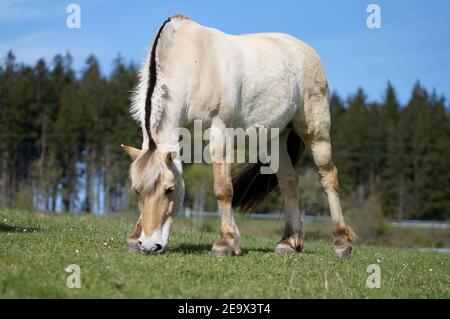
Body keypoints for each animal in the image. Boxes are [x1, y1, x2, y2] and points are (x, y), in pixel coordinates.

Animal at [122, 13, 356, 258]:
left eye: (170, 189)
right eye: (136, 191)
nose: (150, 245)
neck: (193, 62)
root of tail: (305, 49)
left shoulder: (219, 132)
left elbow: (223, 188)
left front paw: (226, 242)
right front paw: (134, 237)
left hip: (316, 131)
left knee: (328, 177)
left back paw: (341, 242)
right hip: (276, 138)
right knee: (288, 181)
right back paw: (289, 242)